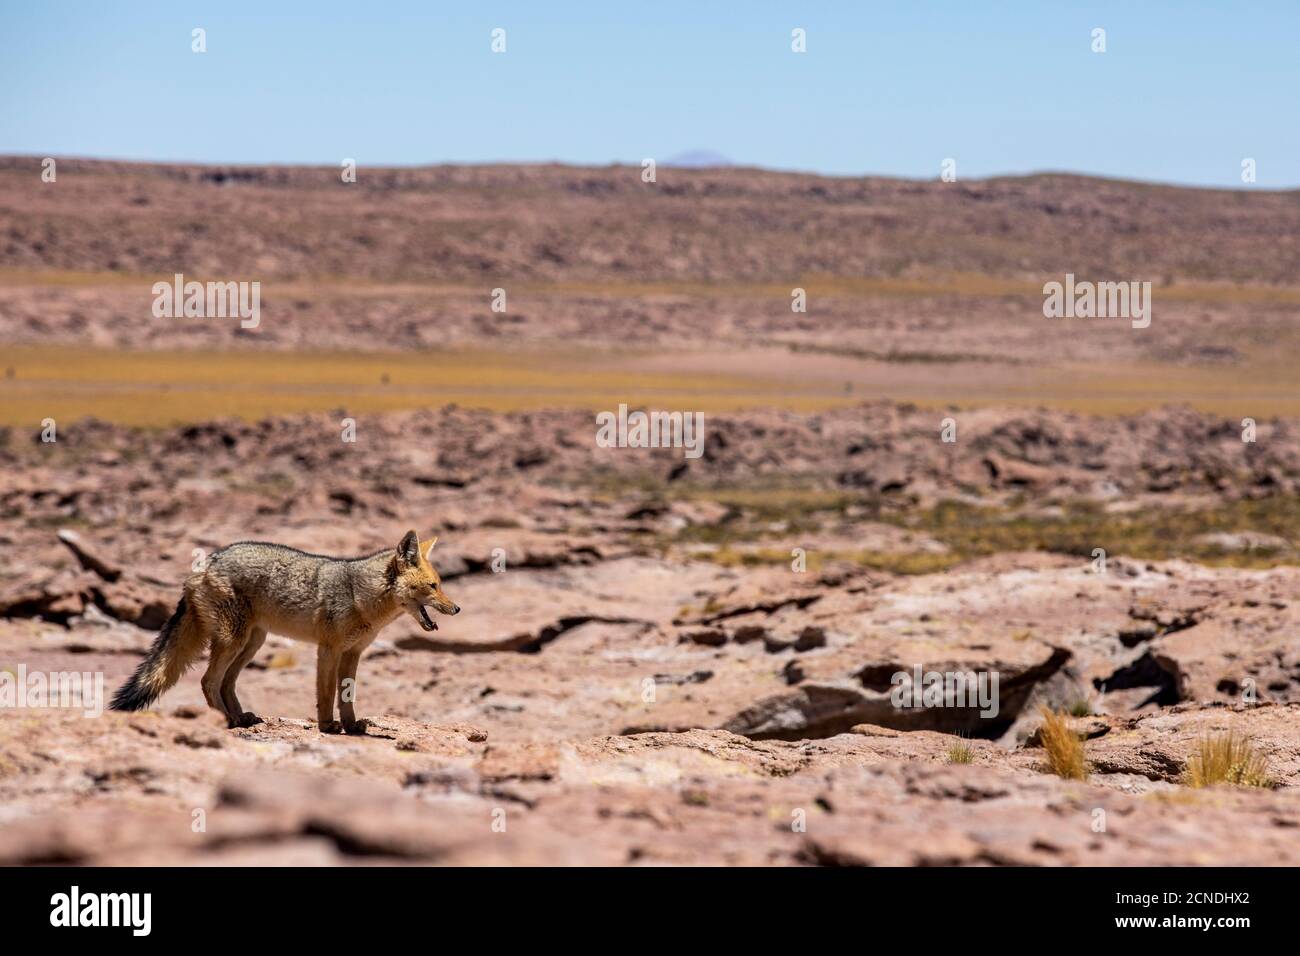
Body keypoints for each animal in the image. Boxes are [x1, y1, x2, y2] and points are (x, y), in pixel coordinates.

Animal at [109, 530, 459, 734]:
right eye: (433, 586)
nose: (456, 608)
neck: (361, 594)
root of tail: (204, 564)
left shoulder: (353, 653)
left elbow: (347, 695)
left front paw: (351, 726)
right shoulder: (329, 648)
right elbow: (326, 693)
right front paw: (327, 726)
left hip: (252, 644)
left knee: (225, 683)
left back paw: (242, 717)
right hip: (234, 641)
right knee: (208, 681)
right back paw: (227, 720)